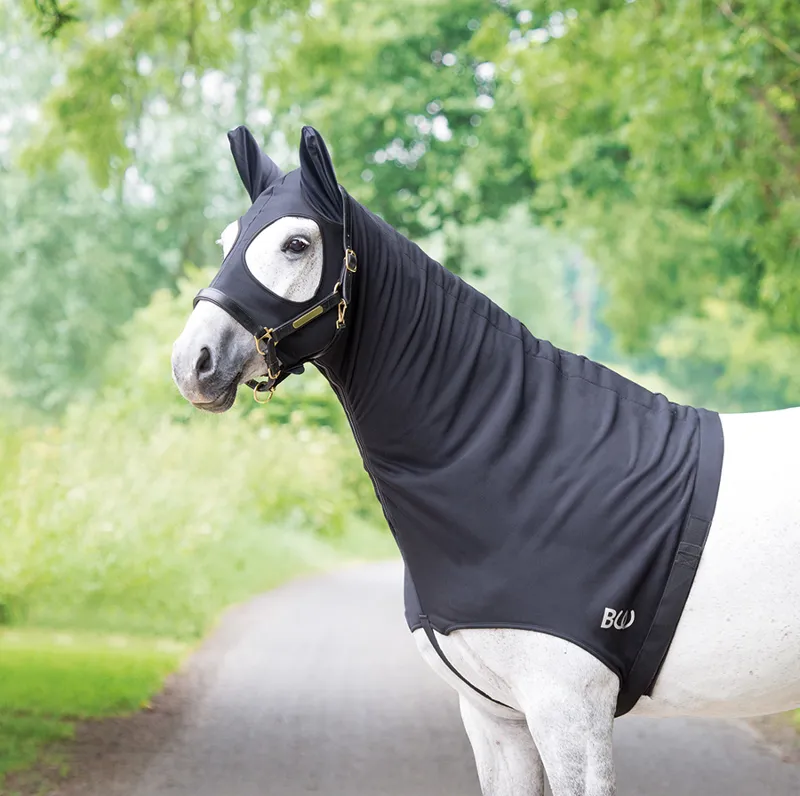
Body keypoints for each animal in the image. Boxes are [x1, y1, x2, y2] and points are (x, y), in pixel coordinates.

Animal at [171, 125, 800, 796]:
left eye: (296, 244)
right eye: (227, 241)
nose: (192, 362)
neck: (525, 462)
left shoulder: (570, 713)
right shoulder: (495, 719)